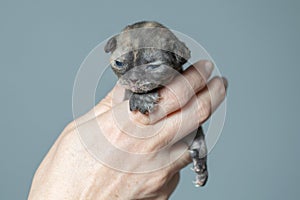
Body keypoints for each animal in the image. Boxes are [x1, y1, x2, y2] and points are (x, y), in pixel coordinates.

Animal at [104, 21, 207, 187]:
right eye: (119, 63)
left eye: (153, 66)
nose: (133, 79)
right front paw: (143, 99)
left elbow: (198, 136)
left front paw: (201, 163)